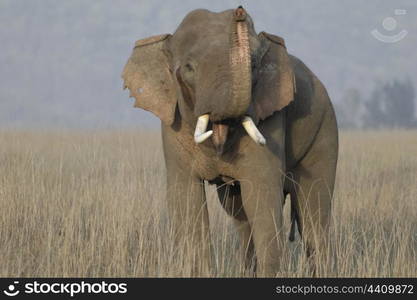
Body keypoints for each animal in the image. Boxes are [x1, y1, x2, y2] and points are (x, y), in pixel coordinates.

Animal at [122, 5, 336, 276]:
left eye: (254, 66)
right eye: (189, 68)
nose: (239, 11)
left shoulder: (270, 115)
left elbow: (262, 194)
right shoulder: (173, 122)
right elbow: (187, 198)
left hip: (324, 129)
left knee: (314, 211)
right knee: (239, 214)